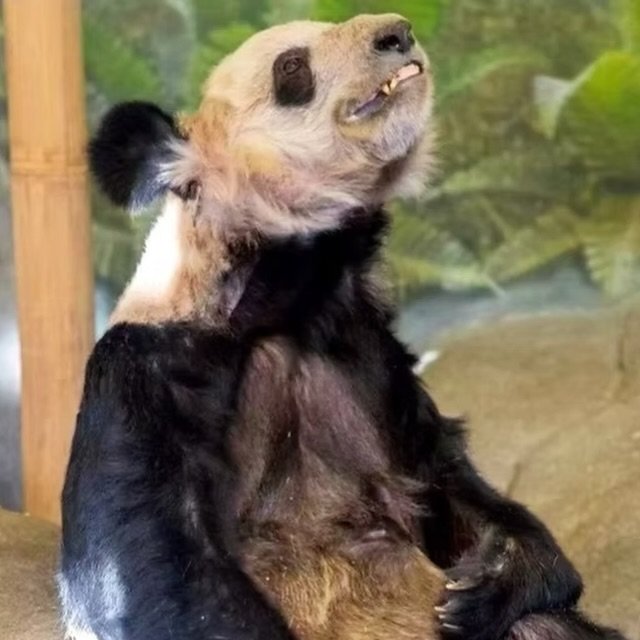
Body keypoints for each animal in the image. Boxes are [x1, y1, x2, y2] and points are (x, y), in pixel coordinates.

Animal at [58, 14, 626, 640]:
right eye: (291, 67)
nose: (397, 33)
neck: (286, 293)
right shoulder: (144, 373)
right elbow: (149, 560)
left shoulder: (373, 358)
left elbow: (448, 481)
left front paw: (494, 579)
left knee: (544, 625)